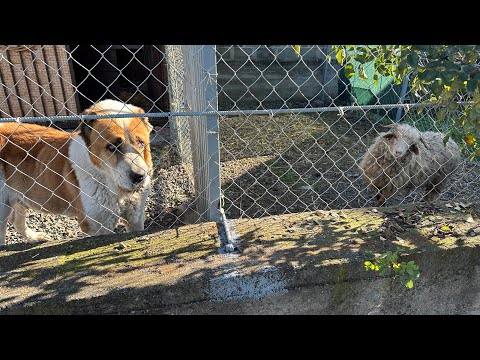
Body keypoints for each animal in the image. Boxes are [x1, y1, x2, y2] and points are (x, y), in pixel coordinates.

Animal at [0, 99, 153, 245]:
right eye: (112, 147)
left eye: (141, 143)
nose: (139, 177)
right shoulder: (98, 226)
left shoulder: (135, 216)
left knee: (17, 221)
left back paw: (34, 238)